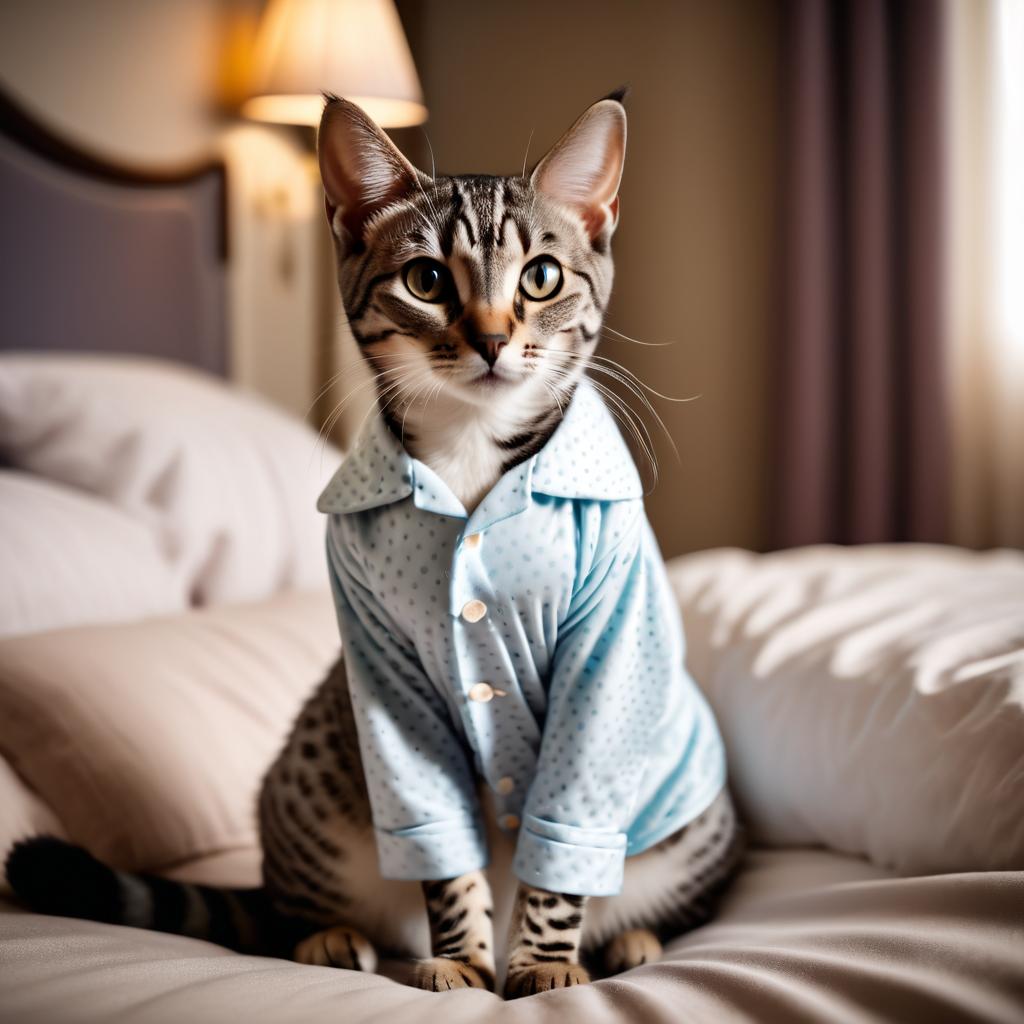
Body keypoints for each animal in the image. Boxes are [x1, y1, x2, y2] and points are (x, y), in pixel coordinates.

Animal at [8, 92, 745, 995]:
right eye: (426, 280)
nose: (492, 337)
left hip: (693, 821)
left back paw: (627, 940)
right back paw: (330, 936)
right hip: (314, 771)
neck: (471, 455)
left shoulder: (606, 650)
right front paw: (462, 957)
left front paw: (543, 958)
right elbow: (440, 843)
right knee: (285, 908)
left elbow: (563, 836)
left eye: (541, 276)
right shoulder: (382, 667)